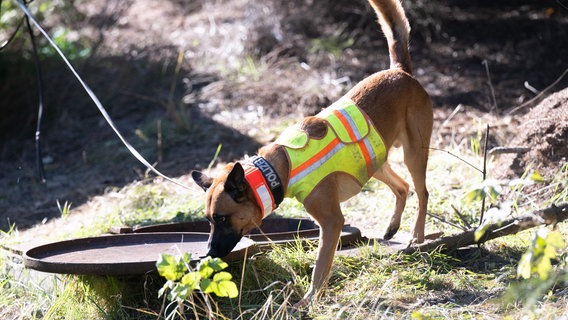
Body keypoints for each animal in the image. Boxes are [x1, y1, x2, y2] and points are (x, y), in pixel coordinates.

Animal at [193, 0, 432, 304]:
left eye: (222, 218)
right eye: (208, 221)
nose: (208, 253)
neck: (279, 169)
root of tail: (400, 71)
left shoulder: (331, 222)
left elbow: (321, 265)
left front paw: (310, 299)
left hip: (414, 153)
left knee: (422, 192)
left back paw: (417, 235)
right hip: (375, 161)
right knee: (402, 187)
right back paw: (392, 228)